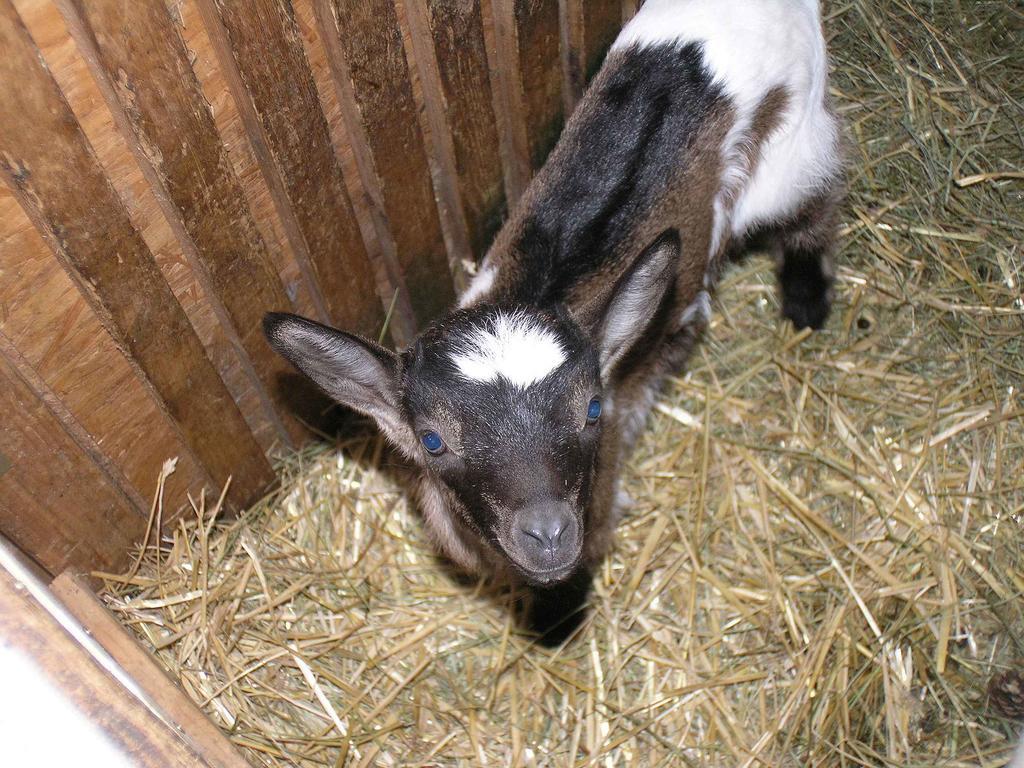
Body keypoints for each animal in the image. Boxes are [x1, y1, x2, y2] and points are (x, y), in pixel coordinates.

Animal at [264, 0, 839, 643]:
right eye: (432, 440)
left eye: (592, 409)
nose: (548, 534)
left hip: (794, 146)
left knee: (816, 201)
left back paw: (807, 299)